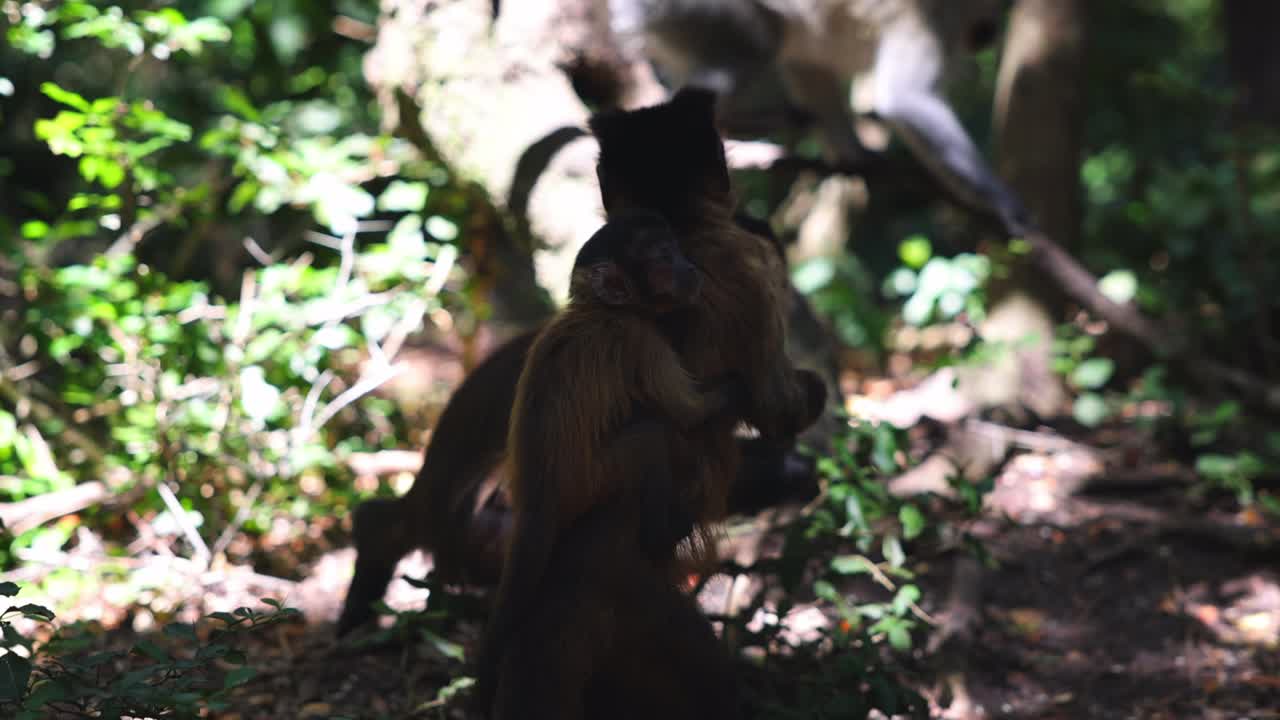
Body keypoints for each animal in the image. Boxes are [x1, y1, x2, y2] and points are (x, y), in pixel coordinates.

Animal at [602, 0, 1032, 235]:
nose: (991, 31)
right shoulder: (932, 20)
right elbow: (905, 101)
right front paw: (1004, 202)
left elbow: (811, 66)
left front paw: (855, 152)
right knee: (756, 45)